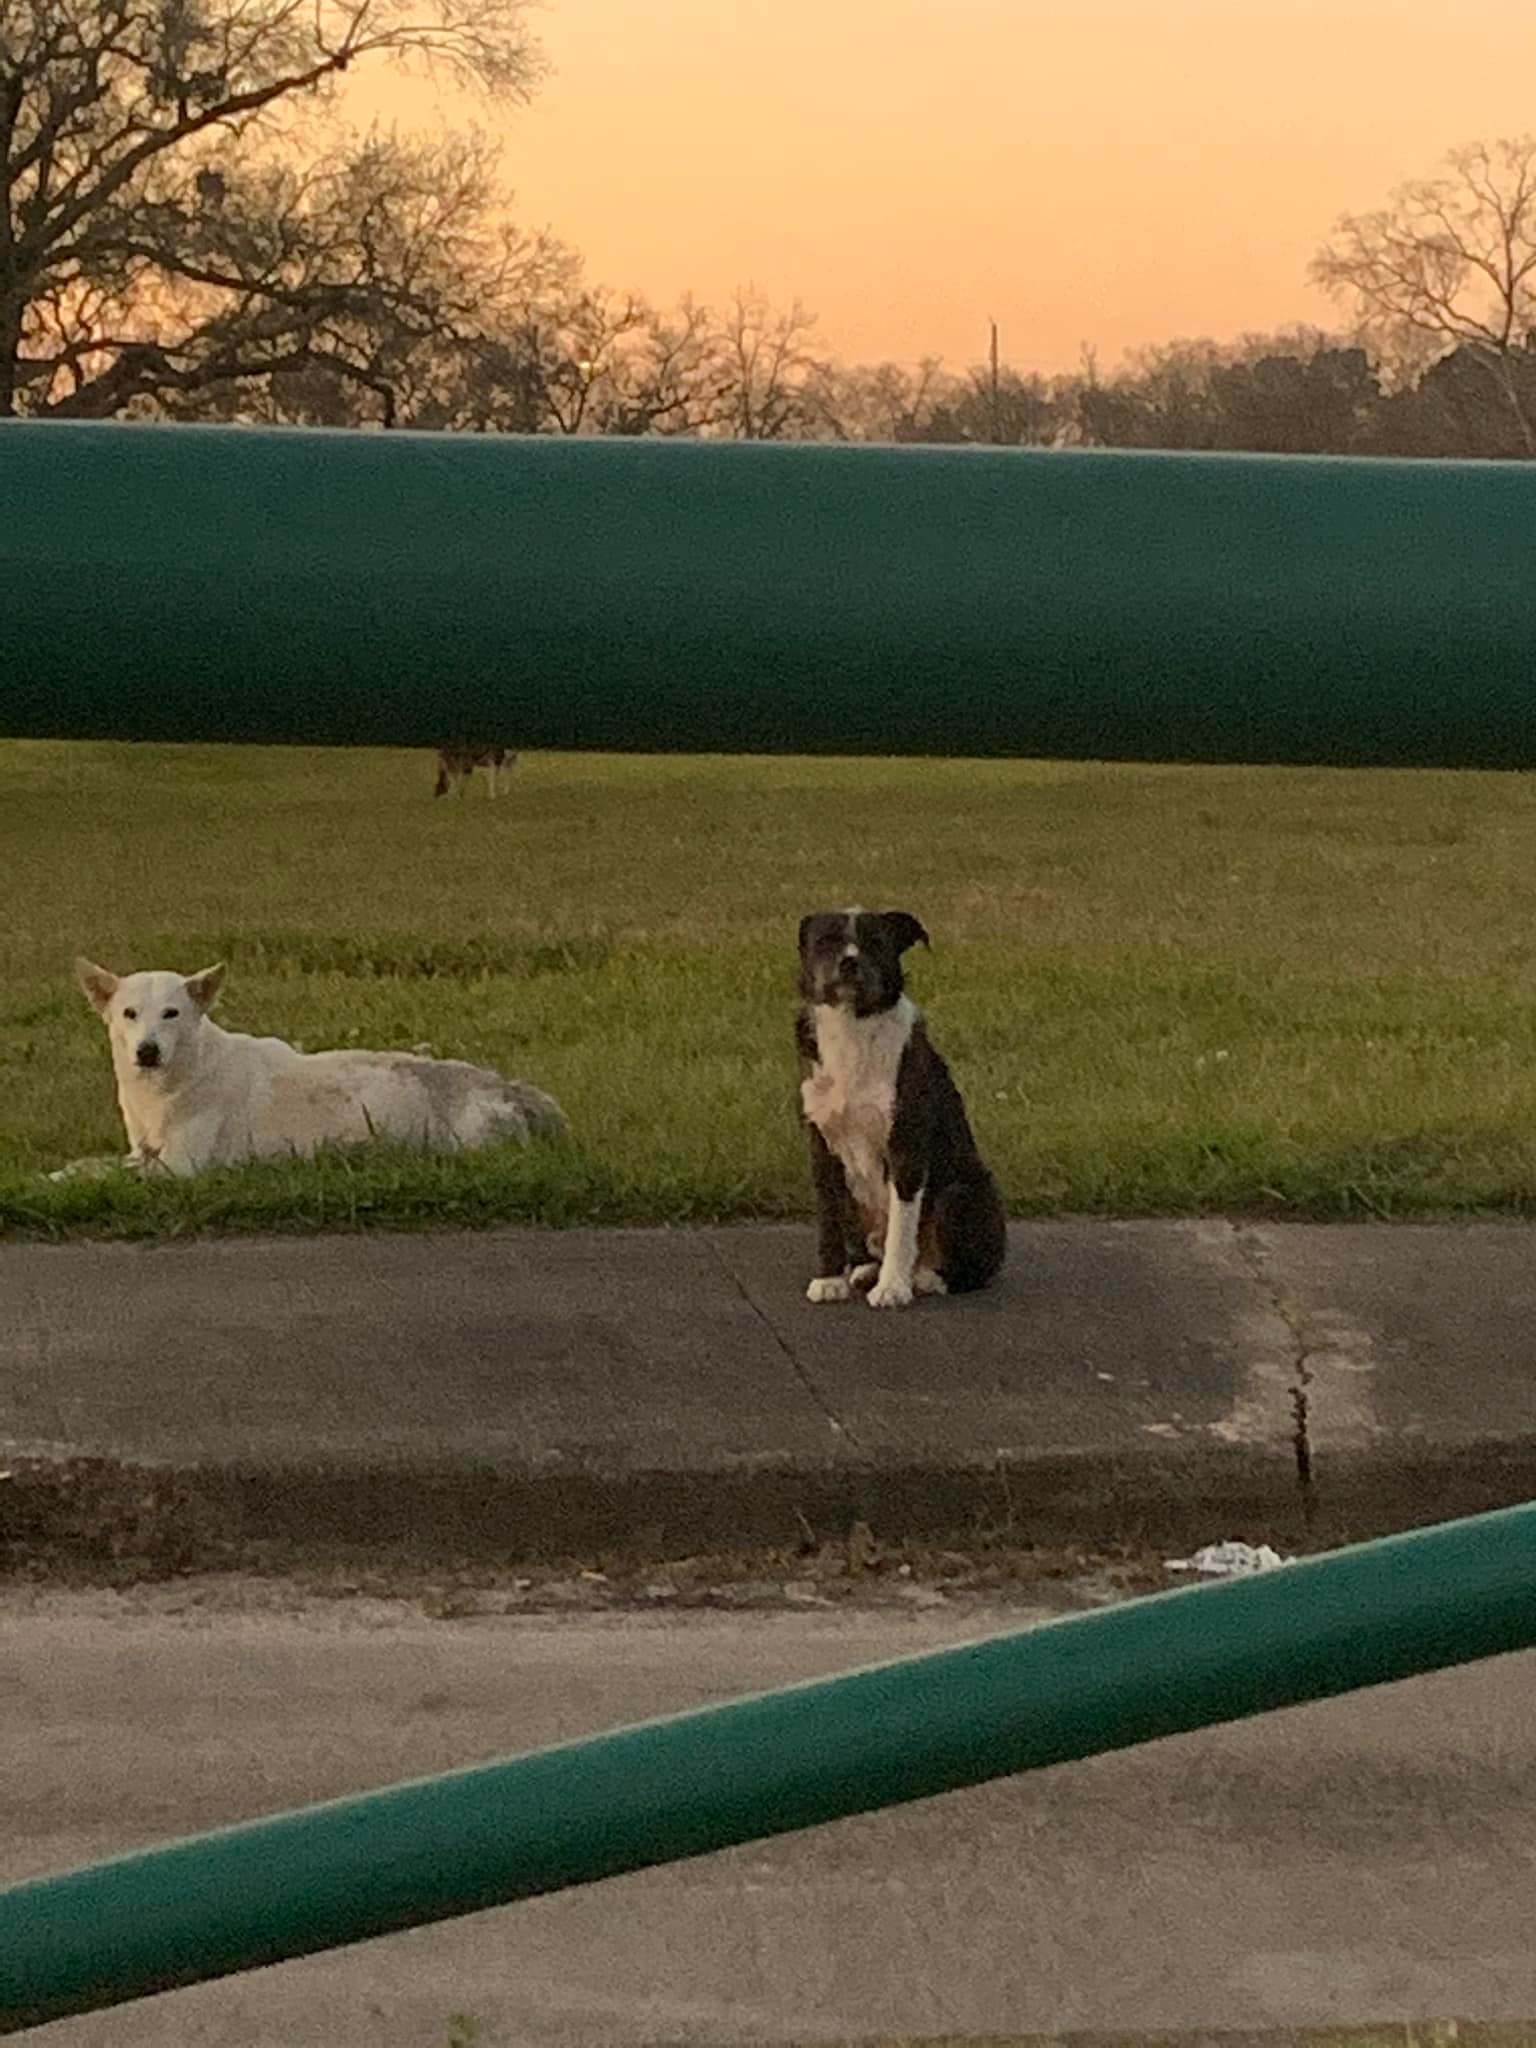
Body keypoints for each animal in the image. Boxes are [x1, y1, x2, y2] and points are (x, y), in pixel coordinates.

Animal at [60, 962, 569, 1187]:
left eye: (171, 1014)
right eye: (129, 1014)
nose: (147, 1051)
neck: (172, 1083)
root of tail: (509, 1087)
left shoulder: (179, 1167)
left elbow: (104, 1173)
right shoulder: (143, 1151)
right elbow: (94, 1163)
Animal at [794, 909, 1011, 1310]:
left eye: (876, 941)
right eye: (826, 941)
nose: (849, 962)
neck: (854, 1024)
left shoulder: (905, 1146)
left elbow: (902, 1225)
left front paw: (892, 1287)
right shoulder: (822, 1146)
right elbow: (828, 1219)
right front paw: (829, 1279)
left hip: (959, 1195)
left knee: (966, 1270)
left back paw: (924, 1277)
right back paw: (866, 1271)